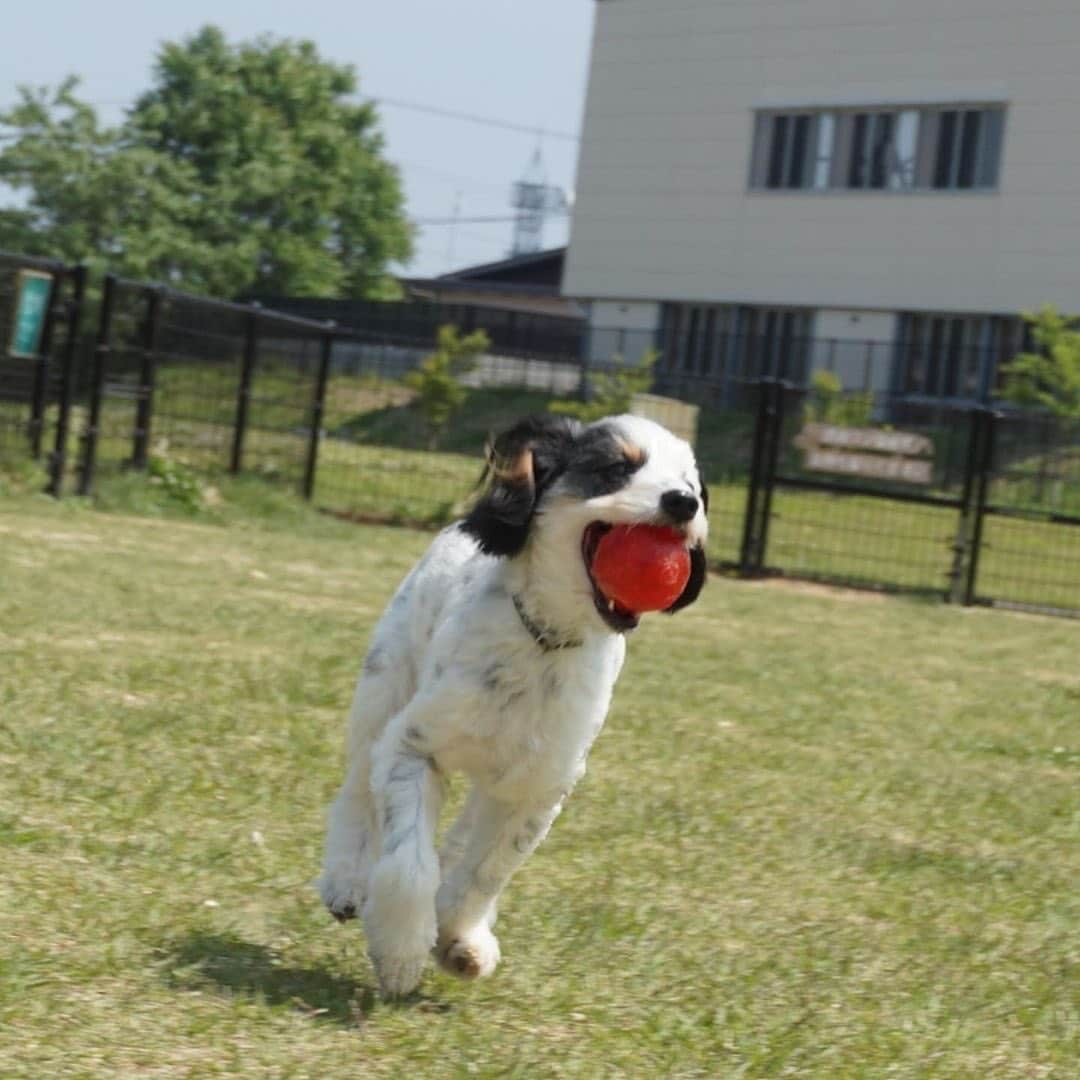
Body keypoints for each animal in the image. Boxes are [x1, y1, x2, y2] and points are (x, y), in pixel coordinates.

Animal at [319, 410, 708, 993]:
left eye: (693, 485)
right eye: (617, 468)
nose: (682, 502)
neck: (544, 642)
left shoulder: (538, 787)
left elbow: (485, 872)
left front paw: (458, 937)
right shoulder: (413, 747)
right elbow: (409, 861)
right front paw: (402, 950)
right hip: (382, 691)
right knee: (357, 792)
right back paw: (345, 880)